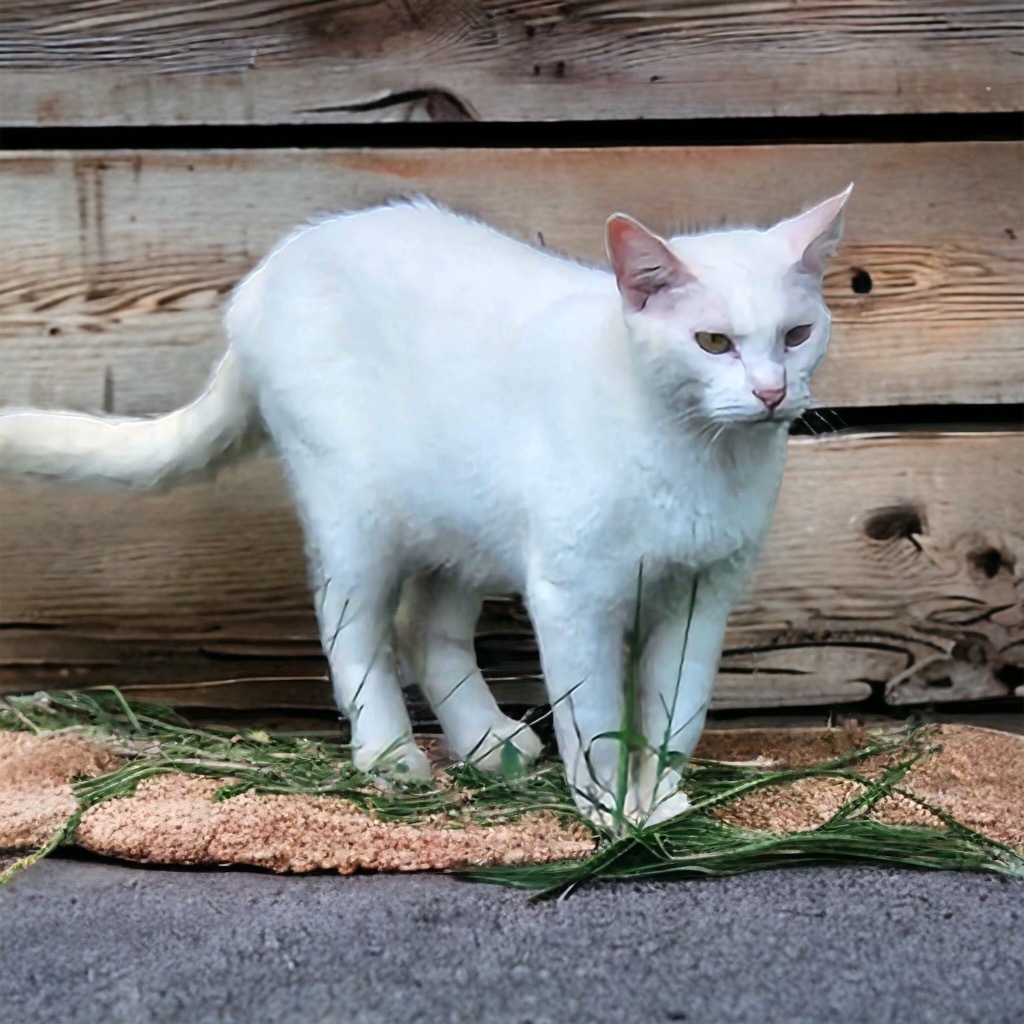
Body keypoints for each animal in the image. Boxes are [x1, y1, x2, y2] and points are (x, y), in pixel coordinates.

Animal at [0, 188, 847, 831]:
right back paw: (390, 757)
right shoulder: (575, 596)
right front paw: (610, 814)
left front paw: (661, 803)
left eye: (797, 336)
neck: (700, 456)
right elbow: (596, 718)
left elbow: (678, 712)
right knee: (357, 637)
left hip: (461, 528)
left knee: (423, 632)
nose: (772, 393)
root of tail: (274, 268)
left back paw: (487, 747)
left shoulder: (703, 594)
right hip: (353, 522)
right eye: (714, 343)